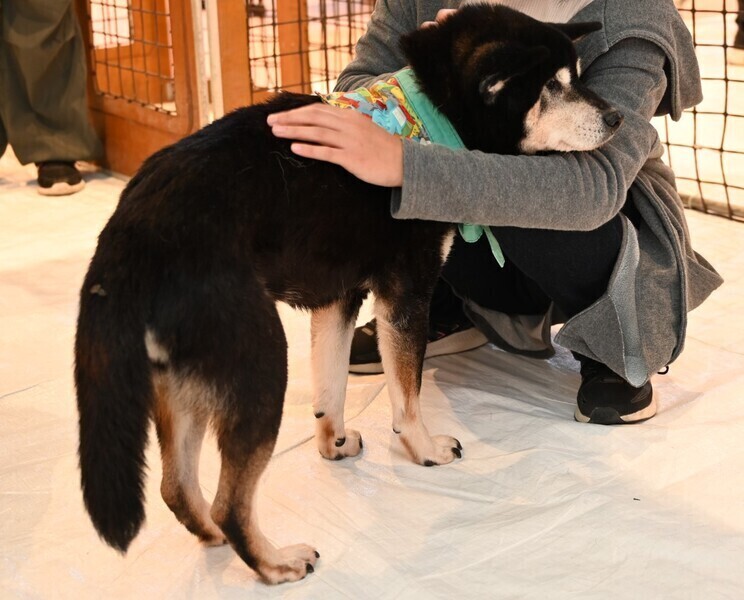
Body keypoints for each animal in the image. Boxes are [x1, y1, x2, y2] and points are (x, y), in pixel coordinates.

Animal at [75, 4, 622, 585]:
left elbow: (330, 385)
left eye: (579, 77)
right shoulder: (405, 292)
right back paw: (275, 562)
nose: (618, 118)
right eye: (555, 86)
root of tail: (129, 236)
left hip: (186, 377)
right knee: (230, 501)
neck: (426, 116)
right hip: (257, 363)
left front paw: (333, 443)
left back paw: (213, 535)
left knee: (175, 487)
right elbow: (407, 395)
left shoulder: (335, 300)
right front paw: (423, 448)